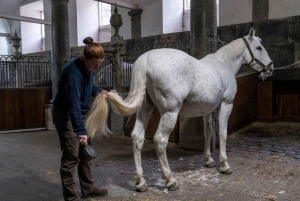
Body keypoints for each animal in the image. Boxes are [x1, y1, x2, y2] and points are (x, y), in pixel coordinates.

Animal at [85, 27, 274, 192]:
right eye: (259, 48)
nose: (270, 69)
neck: (224, 65)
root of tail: (146, 58)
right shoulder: (226, 105)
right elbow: (222, 134)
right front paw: (224, 165)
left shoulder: (207, 111)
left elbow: (208, 133)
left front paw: (208, 160)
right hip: (170, 112)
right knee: (160, 140)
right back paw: (170, 180)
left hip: (145, 108)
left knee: (137, 138)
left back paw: (141, 182)